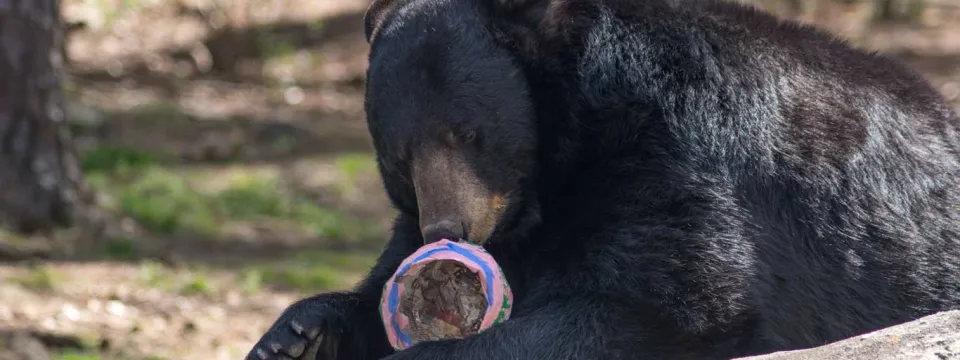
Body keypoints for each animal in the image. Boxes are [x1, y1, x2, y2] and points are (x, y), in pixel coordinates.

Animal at [246, 0, 960, 358]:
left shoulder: (673, 149)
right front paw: (294, 337)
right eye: (399, 154)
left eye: (468, 134)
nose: (448, 231)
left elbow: (665, 305)